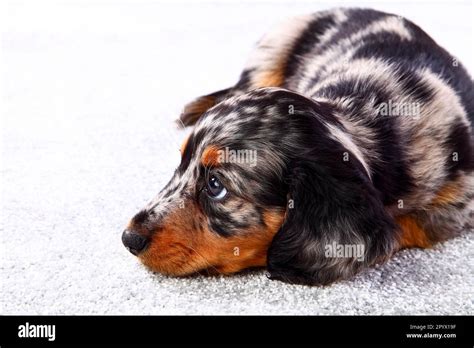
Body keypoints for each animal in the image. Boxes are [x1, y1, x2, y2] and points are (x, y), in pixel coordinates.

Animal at [122, 8, 474, 286]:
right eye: (180, 165)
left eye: (215, 185)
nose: (128, 238)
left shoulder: (460, 200)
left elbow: (405, 225)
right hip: (272, 51)